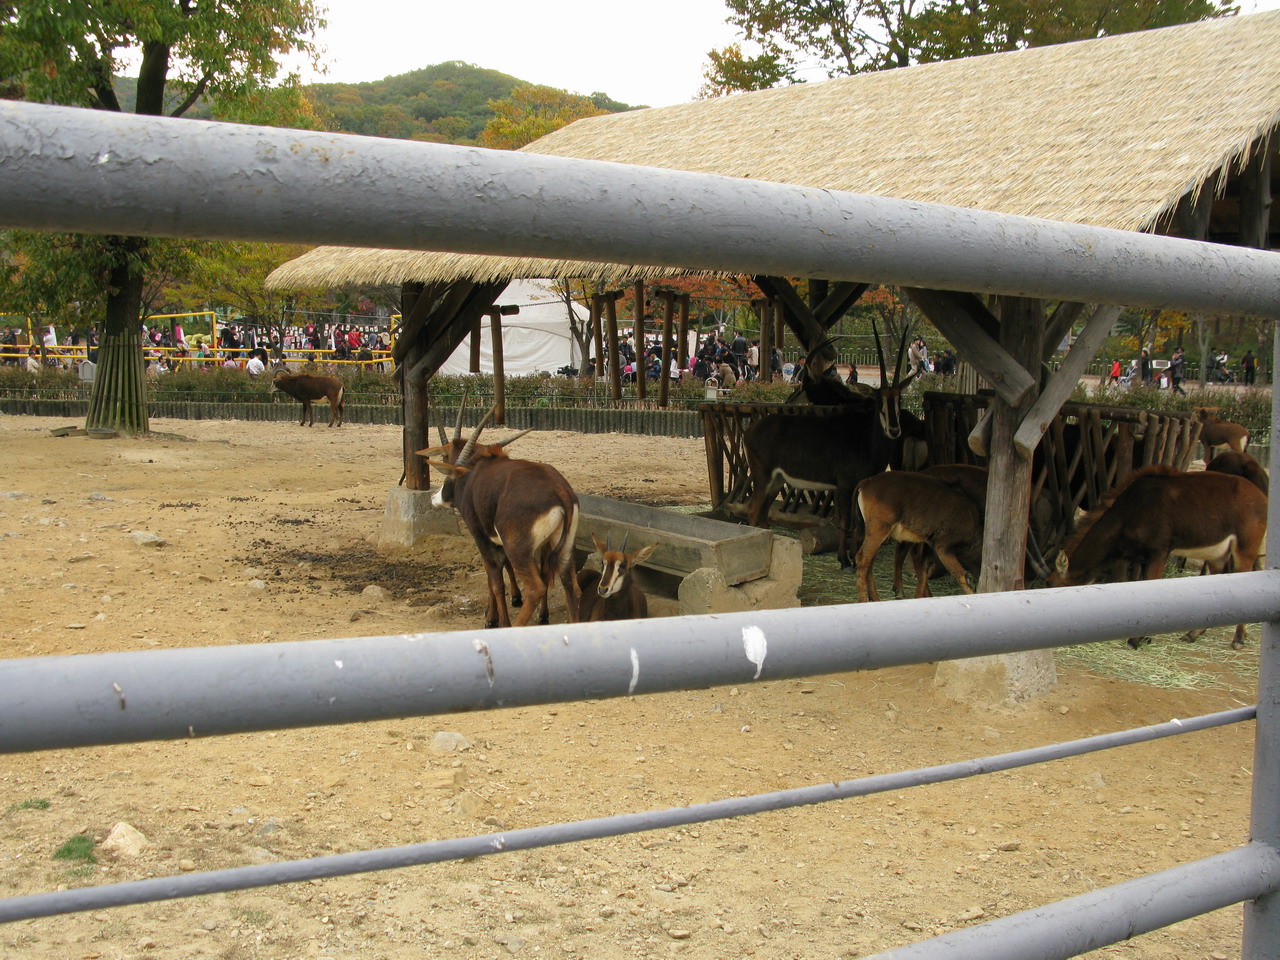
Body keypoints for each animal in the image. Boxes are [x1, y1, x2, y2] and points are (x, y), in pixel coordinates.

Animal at [420, 407, 581, 628]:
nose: (435, 497)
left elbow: (495, 580)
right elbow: (494, 576)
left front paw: (494, 619)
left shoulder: (481, 537)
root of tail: (560, 492)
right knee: (570, 584)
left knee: (536, 587)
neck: (472, 472)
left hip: (518, 549)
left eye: (445, 459)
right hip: (563, 547)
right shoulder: (497, 542)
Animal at [744, 321, 915, 570]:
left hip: (776, 481)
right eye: (880, 399)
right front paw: (844, 560)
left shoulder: (857, 487)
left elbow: (859, 526)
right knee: (753, 510)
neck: (865, 438)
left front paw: (853, 558)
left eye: (899, 399)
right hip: (762, 476)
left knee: (764, 515)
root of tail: (750, 430)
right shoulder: (844, 486)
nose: (894, 430)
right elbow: (845, 523)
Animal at [853, 470, 985, 602]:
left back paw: (876, 598)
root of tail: (865, 483)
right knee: (862, 561)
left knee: (868, 562)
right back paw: (863, 600)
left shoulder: (930, 545)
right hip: (878, 531)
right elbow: (961, 575)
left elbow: (923, 570)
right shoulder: (942, 547)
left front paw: (920, 596)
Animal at [1049, 465, 1267, 649]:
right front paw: (1144, 637)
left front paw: (1136, 639)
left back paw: (1238, 640)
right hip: (1218, 556)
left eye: (1052, 585)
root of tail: (1263, 498)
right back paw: (1193, 634)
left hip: (1245, 550)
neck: (1128, 511)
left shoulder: (1159, 552)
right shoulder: (1141, 557)